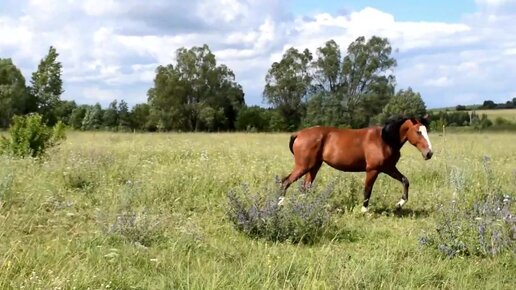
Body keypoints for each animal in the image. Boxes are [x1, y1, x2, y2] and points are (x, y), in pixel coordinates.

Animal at [280, 116, 434, 213]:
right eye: (418, 132)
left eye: (426, 131)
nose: (429, 153)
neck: (384, 140)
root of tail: (299, 134)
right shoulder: (372, 170)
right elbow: (367, 190)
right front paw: (364, 210)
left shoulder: (389, 168)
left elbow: (405, 181)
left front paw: (399, 204)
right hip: (303, 166)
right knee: (286, 181)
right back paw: (280, 204)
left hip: (314, 167)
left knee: (305, 187)